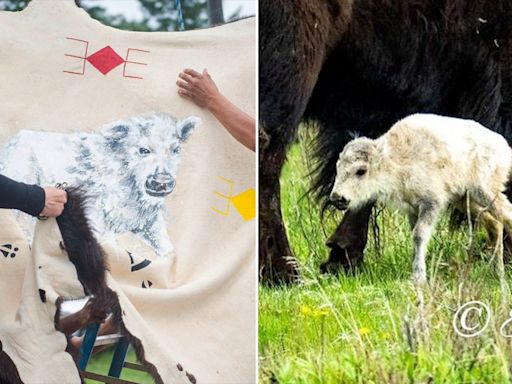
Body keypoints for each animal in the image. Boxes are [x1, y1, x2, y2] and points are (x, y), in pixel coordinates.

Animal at [330, 112, 512, 284]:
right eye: (338, 168)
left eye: (361, 171)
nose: (338, 198)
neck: (395, 159)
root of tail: (504, 147)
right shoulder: (413, 209)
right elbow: (414, 234)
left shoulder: (431, 203)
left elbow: (419, 235)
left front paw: (419, 277)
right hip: (464, 199)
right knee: (495, 224)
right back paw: (497, 273)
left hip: (485, 192)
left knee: (506, 214)